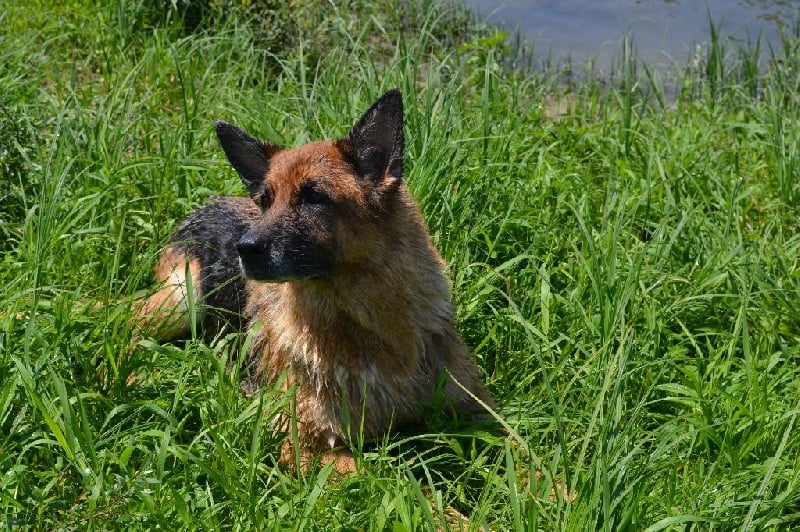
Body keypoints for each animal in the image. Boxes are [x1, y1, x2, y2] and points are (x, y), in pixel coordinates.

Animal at [136, 89, 494, 472]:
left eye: (313, 197)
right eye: (265, 201)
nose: (243, 248)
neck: (366, 324)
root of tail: (207, 204)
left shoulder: (480, 414)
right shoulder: (306, 446)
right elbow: (384, 476)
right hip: (180, 298)